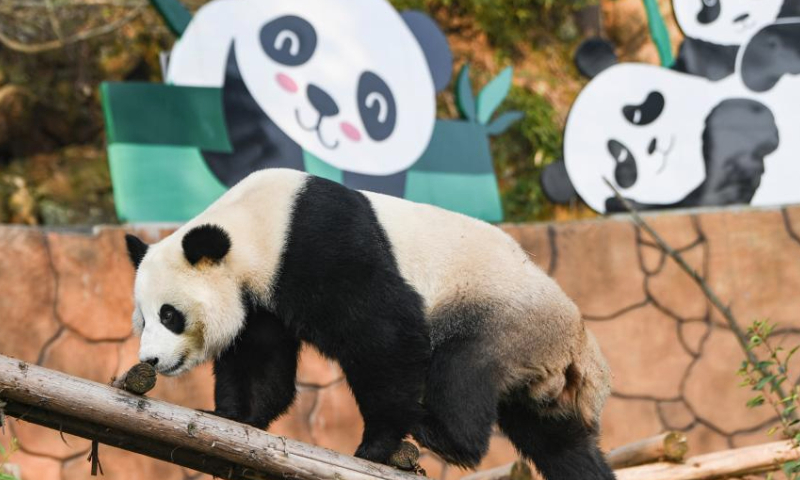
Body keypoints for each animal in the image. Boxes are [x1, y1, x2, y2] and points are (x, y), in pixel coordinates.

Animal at [123, 169, 612, 480]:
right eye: (143, 319)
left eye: (169, 315)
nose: (151, 360)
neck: (254, 225)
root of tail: (579, 348)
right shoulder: (263, 299)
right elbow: (260, 362)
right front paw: (229, 415)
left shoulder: (318, 244)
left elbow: (386, 333)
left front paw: (375, 447)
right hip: (534, 365)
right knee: (557, 441)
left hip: (500, 318)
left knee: (463, 369)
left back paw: (440, 432)